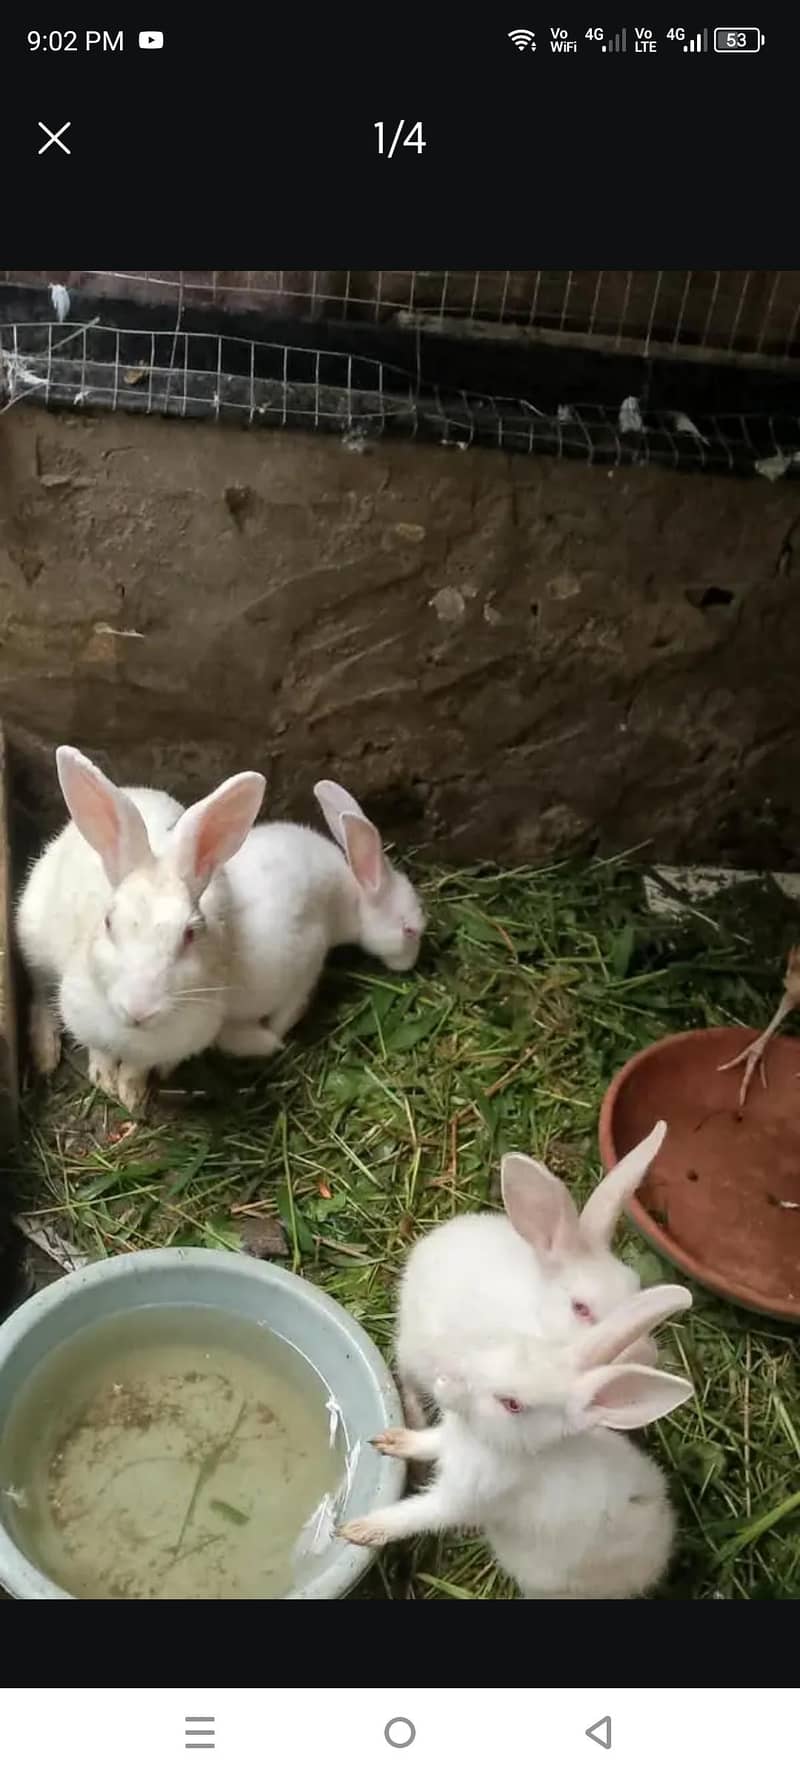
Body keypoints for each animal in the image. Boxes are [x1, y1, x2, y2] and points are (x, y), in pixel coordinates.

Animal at [15, 746, 265, 1113]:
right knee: (39, 992)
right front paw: (104, 1080)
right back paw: (45, 1053)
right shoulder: (83, 1017)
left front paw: (131, 1095)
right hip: (32, 935)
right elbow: (99, 1051)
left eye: (190, 934)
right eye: (108, 922)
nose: (139, 1011)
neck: (132, 1034)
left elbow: (137, 1067)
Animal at [340, 1283, 693, 1600]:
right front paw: (391, 1441)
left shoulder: (460, 1501)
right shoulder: (447, 1441)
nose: (446, 1378)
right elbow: (426, 1443)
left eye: (512, 1404)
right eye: (504, 1347)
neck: (480, 1441)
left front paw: (358, 1530)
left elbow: (415, 1515)